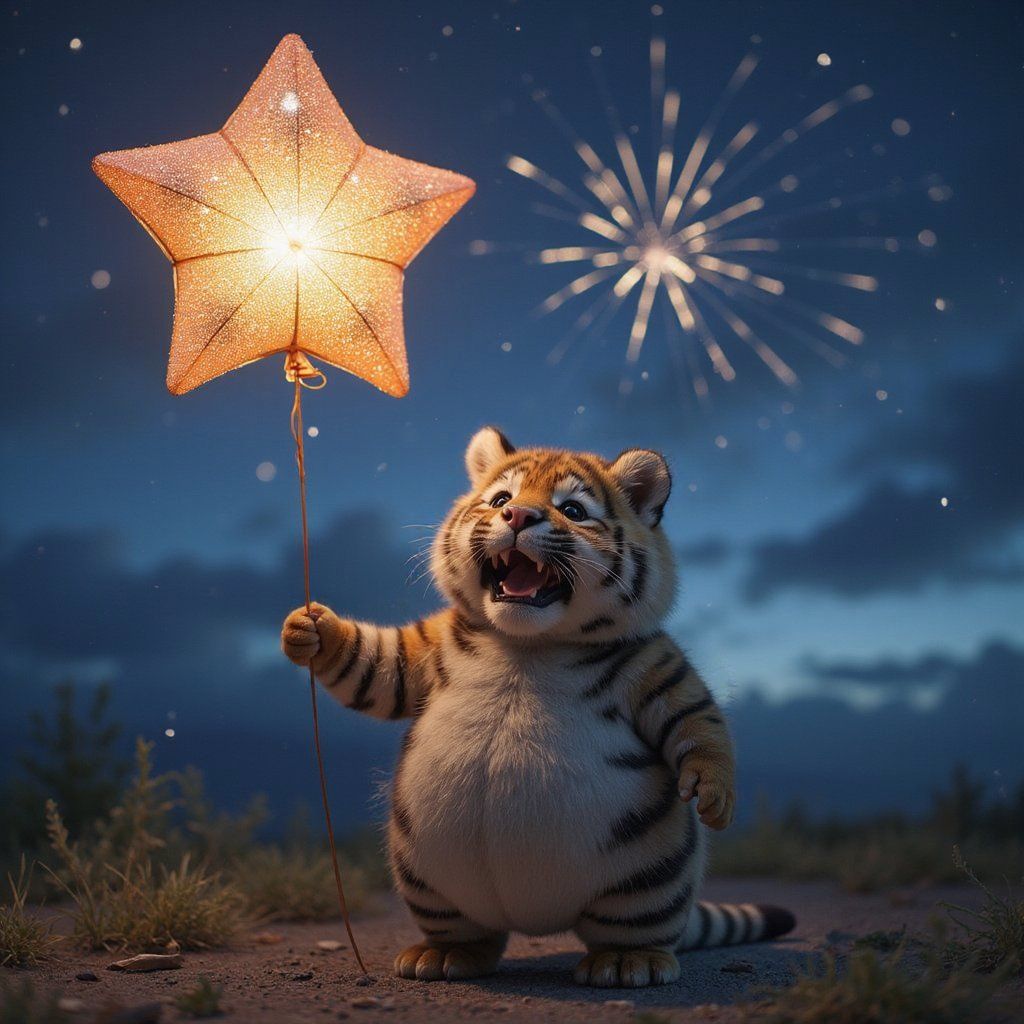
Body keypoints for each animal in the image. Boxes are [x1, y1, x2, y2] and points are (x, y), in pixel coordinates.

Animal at [281, 426, 795, 988]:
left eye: (572, 509)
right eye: (500, 499)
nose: (518, 517)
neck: (528, 645)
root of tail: (541, 922)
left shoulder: (661, 669)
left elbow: (700, 724)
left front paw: (714, 796)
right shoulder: (422, 652)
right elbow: (371, 662)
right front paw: (309, 629)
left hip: (651, 876)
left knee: (634, 927)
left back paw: (627, 962)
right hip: (426, 876)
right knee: (472, 933)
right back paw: (443, 956)